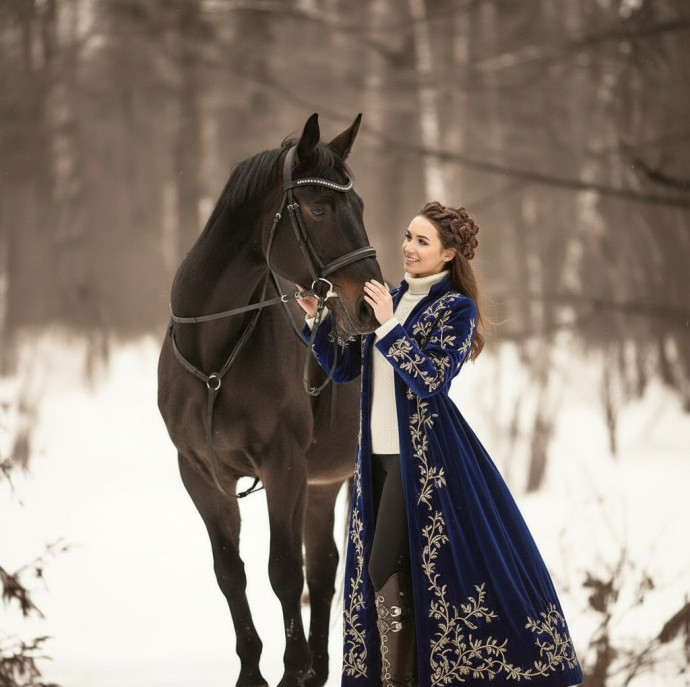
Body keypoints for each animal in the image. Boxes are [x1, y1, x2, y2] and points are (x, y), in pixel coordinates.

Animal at [157, 113, 383, 687]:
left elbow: (283, 570)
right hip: (323, 482)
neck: (214, 354)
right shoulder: (201, 472)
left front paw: (291, 669)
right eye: (320, 208)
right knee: (324, 567)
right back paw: (322, 667)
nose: (370, 306)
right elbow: (230, 571)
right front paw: (256, 672)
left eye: (361, 206)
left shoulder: (283, 466)